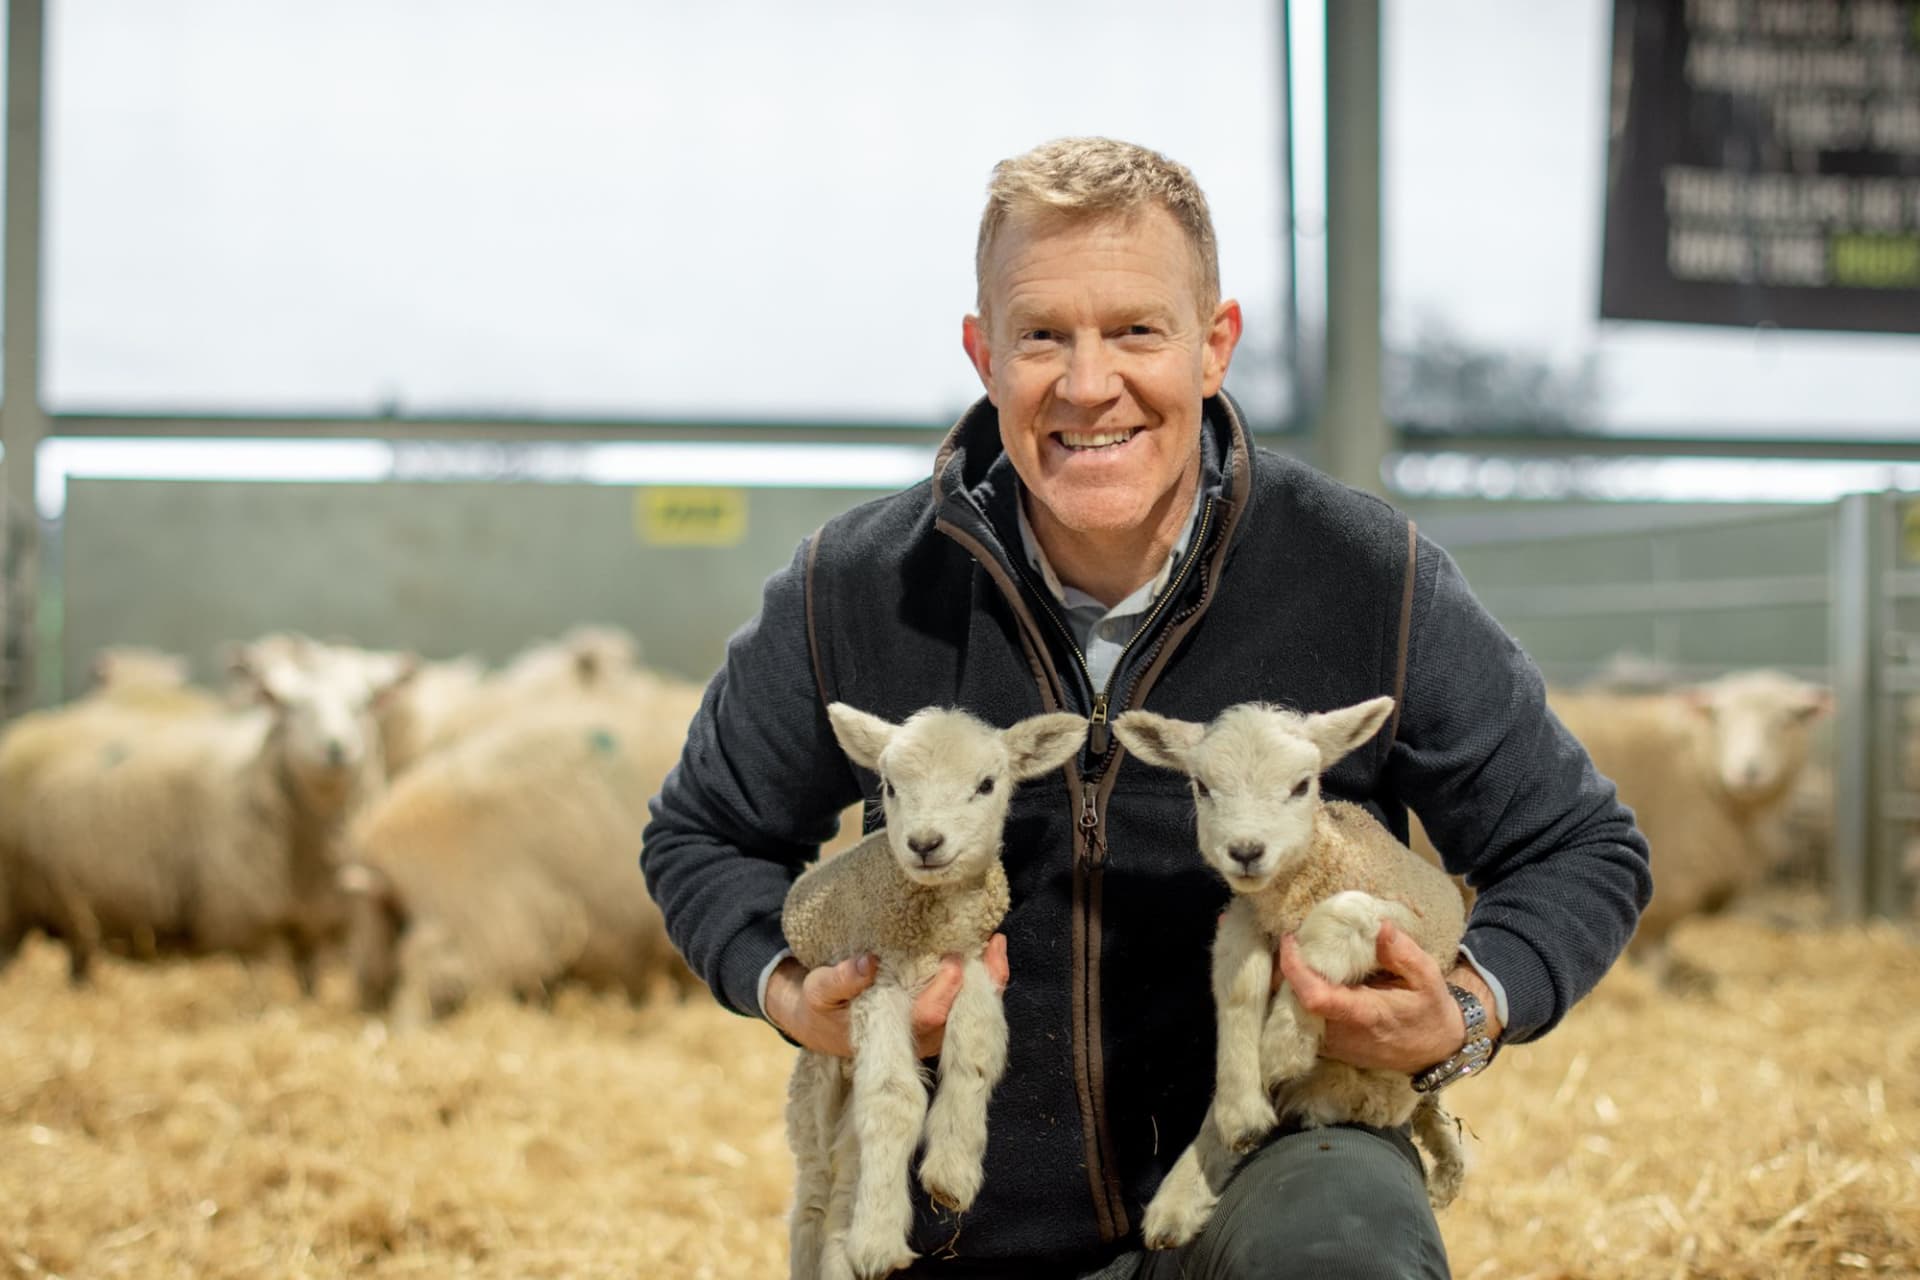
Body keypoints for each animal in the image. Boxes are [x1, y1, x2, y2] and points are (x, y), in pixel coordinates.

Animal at [0, 637, 405, 990]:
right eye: (289, 707)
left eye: (362, 704)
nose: (336, 748)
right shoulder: (248, 924)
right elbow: (260, 991)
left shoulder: (315, 924)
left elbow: (309, 984)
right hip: (11, 901)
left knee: (80, 953)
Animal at [775, 706, 1082, 1274]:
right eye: (890, 786)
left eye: (986, 785)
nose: (924, 843)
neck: (932, 927)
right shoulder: (876, 981)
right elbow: (893, 1096)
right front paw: (878, 1241)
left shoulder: (971, 963)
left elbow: (975, 1055)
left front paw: (952, 1172)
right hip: (817, 1071)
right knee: (814, 1189)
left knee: (847, 1173)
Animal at [1113, 702, 1466, 1251]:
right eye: (1202, 786)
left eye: (1302, 785)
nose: (1246, 850)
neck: (1300, 888)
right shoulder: (1244, 917)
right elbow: (1237, 982)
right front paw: (1240, 1106)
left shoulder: (1416, 924)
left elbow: (1342, 914)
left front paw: (1283, 1043)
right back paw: (1182, 1196)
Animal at [1543, 667, 1827, 974]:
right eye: (1719, 718)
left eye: (1785, 721)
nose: (1748, 772)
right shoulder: (1671, 877)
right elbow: (1655, 950)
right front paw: (1655, 979)